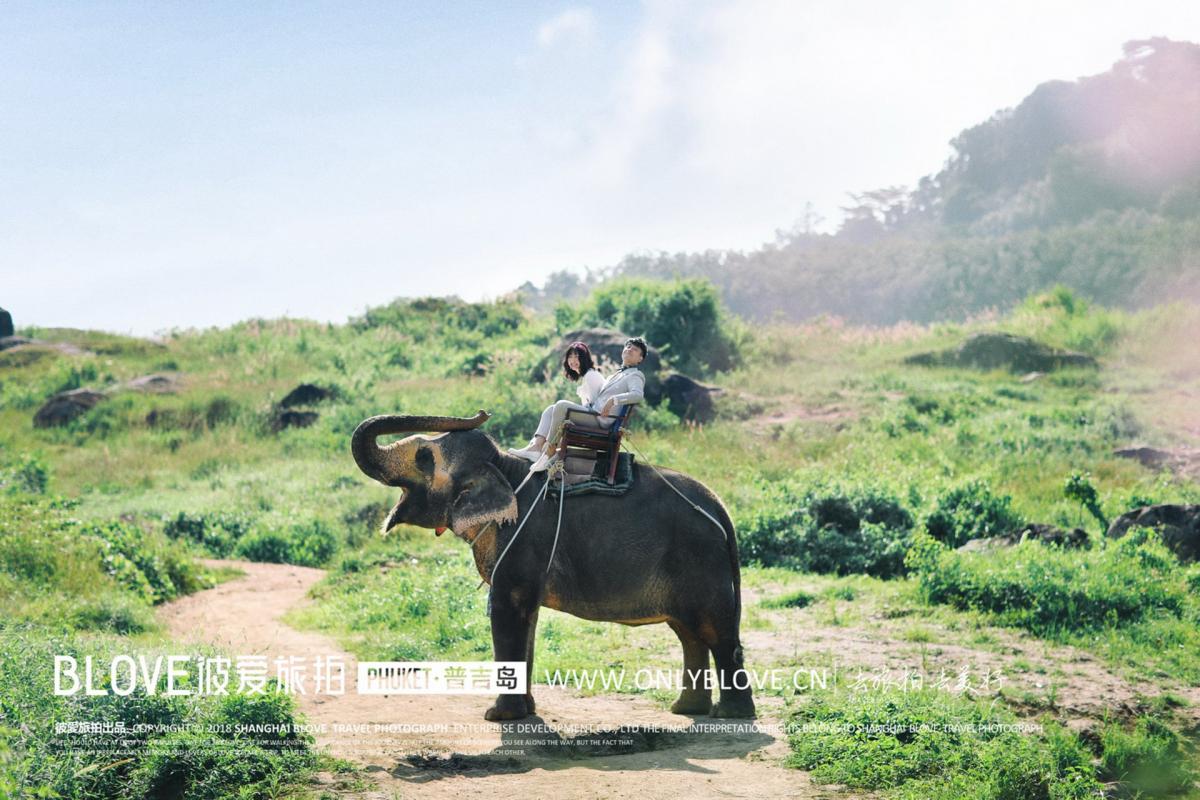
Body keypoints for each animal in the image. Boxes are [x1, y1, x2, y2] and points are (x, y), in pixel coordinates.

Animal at [350, 410, 753, 724]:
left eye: (422, 456)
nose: (481, 413)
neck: (504, 468)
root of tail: (721, 511)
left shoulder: (523, 540)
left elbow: (507, 611)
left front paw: (498, 716)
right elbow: (526, 618)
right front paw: (525, 711)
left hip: (700, 562)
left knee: (716, 632)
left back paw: (729, 715)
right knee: (689, 633)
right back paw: (686, 711)